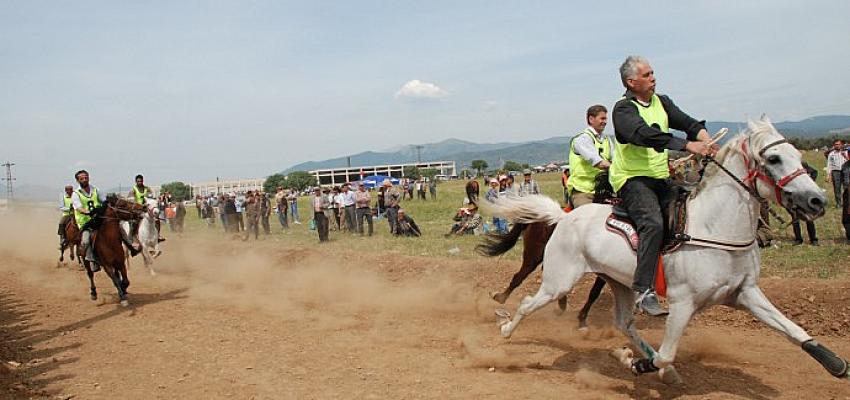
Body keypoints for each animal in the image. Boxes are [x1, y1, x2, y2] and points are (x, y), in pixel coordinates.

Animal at [486, 118, 844, 384]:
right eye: (773, 159)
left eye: (797, 154)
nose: (817, 200)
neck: (713, 228)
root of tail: (564, 217)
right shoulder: (683, 303)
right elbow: (667, 352)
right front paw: (643, 365)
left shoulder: (745, 292)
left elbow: (793, 330)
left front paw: (836, 364)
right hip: (558, 279)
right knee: (528, 301)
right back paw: (505, 328)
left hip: (619, 283)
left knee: (623, 323)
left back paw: (626, 352)